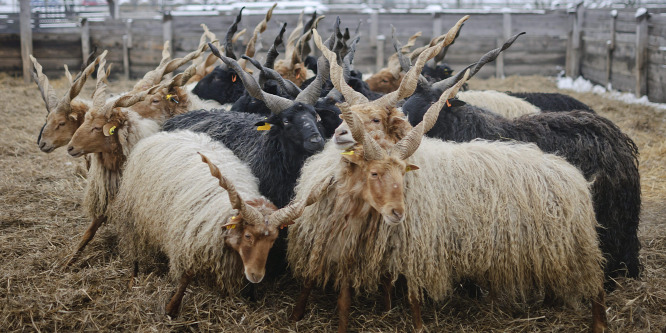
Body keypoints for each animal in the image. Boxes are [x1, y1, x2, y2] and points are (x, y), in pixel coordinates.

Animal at [114, 130, 334, 316]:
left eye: (272, 241)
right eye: (248, 236)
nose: (257, 276)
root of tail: (162, 134)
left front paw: (251, 296)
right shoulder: (192, 239)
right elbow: (186, 276)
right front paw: (171, 308)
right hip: (132, 214)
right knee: (134, 249)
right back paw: (133, 278)